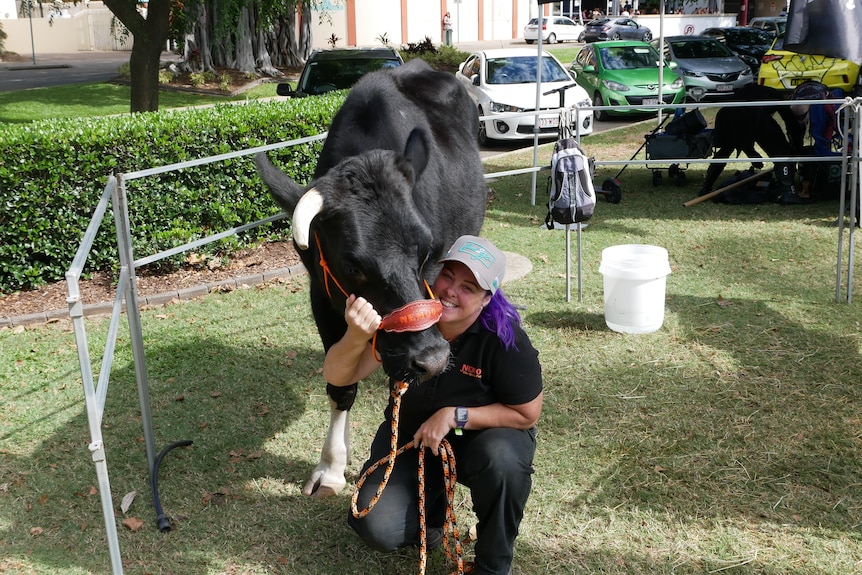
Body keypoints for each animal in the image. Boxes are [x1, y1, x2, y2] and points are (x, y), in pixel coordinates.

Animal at [253, 59, 490, 500]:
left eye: (425, 250)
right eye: (353, 266)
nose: (433, 359)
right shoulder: (321, 294)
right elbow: (341, 385)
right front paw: (331, 467)